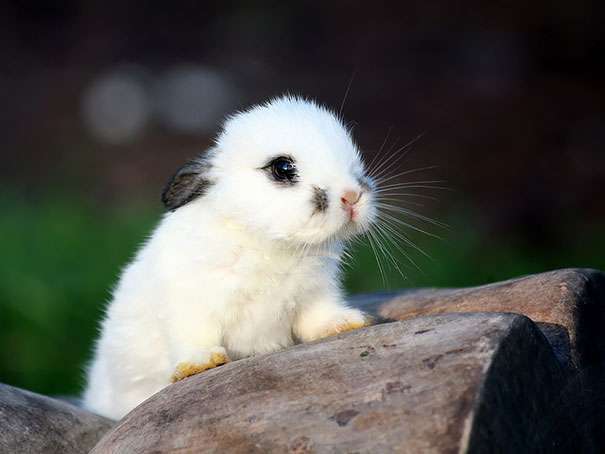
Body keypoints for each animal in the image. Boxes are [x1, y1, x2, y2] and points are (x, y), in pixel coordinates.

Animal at [84, 96, 378, 418]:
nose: (352, 196)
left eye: (353, 161)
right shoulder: (191, 304)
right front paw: (201, 363)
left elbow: (317, 317)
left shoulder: (315, 294)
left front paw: (345, 323)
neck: (269, 243)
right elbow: (194, 335)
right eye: (283, 168)